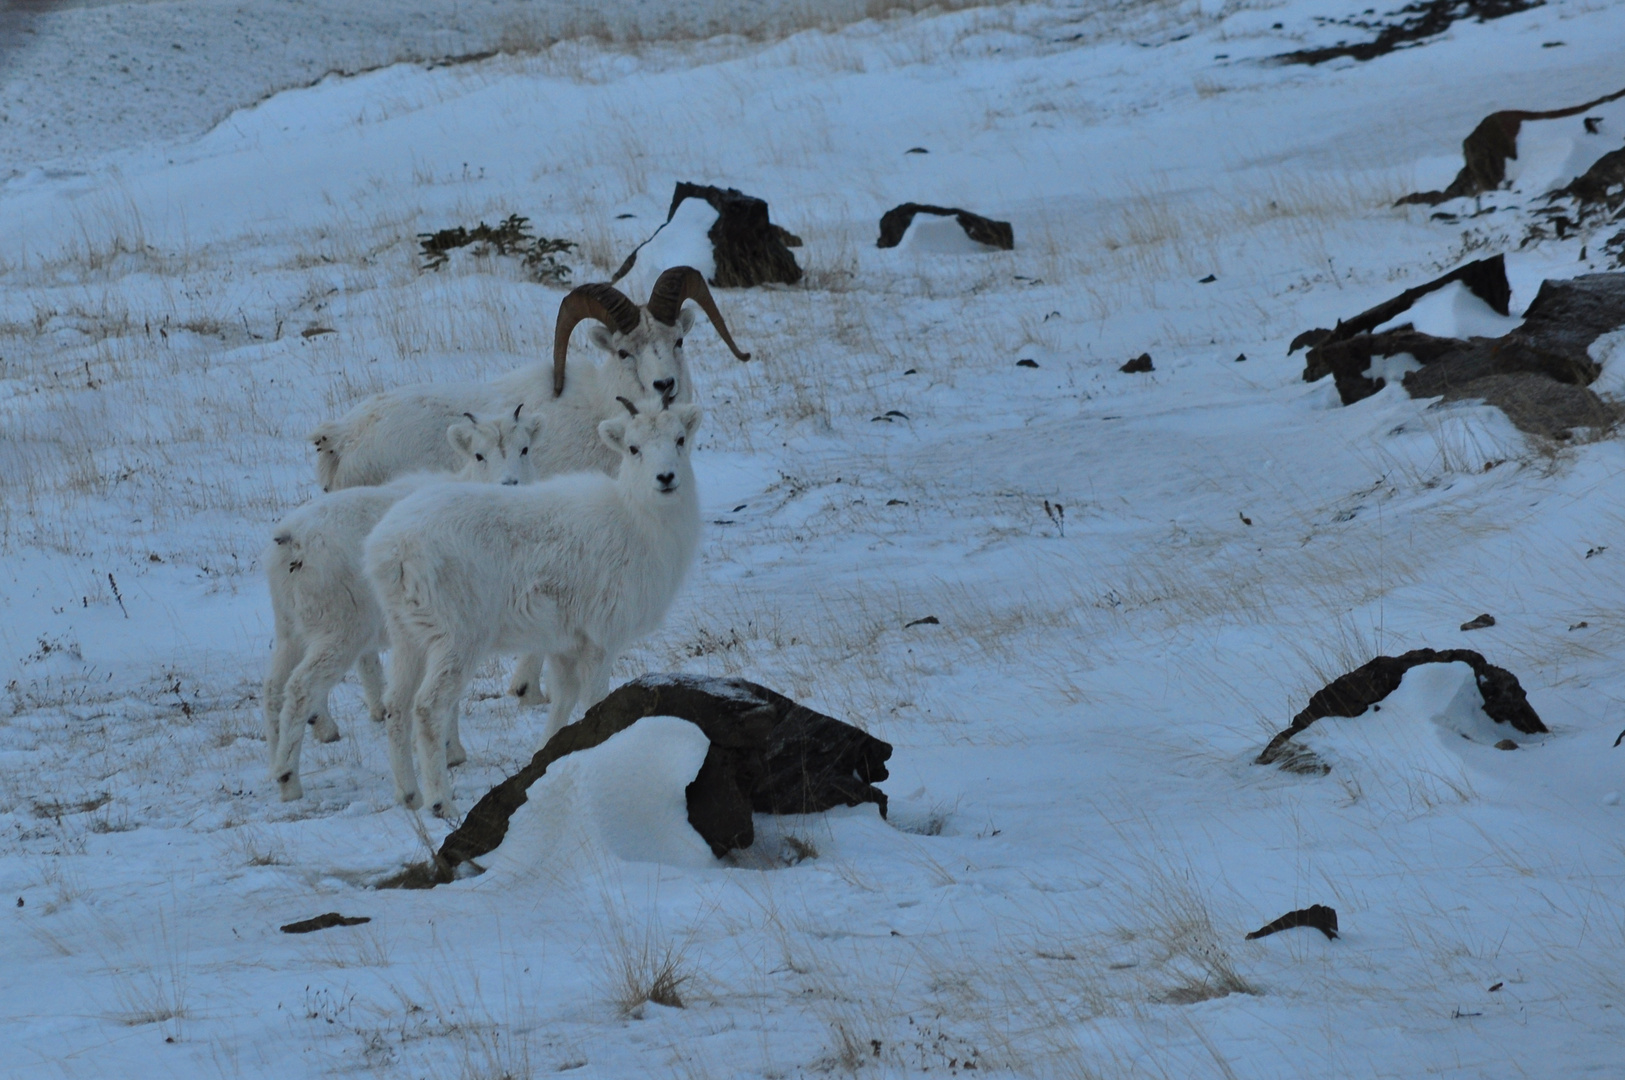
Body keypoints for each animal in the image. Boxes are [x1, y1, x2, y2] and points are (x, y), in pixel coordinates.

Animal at [260, 409, 546, 795]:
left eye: (525, 449)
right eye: (479, 455)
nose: (510, 483)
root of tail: (292, 542)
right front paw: (452, 753)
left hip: (290, 630)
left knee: (273, 688)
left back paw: (276, 768)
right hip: (340, 634)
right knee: (300, 687)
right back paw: (290, 781)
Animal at [368, 391, 705, 812]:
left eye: (680, 439)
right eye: (633, 448)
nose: (666, 478)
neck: (639, 523)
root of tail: (393, 550)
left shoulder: (564, 645)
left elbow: (562, 699)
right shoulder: (601, 641)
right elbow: (594, 701)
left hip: (407, 637)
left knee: (396, 706)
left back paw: (408, 796)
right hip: (456, 640)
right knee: (427, 709)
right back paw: (440, 804)